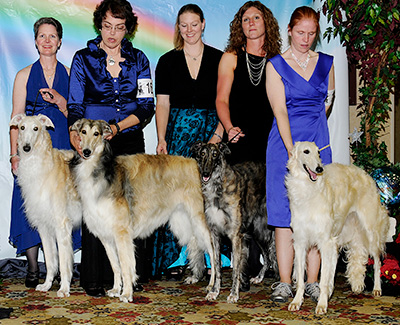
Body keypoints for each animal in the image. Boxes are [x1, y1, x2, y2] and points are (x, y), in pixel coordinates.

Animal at [9, 114, 81, 296]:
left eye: (36, 128)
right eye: (21, 127)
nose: (26, 148)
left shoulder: (61, 225)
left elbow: (63, 263)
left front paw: (64, 289)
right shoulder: (44, 226)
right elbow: (50, 261)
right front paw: (47, 285)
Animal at [286, 140, 390, 312]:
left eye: (319, 153)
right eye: (306, 151)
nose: (319, 169)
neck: (309, 190)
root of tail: (366, 175)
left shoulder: (324, 241)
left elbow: (322, 278)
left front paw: (321, 305)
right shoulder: (300, 241)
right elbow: (301, 279)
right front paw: (296, 302)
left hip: (370, 232)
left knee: (377, 261)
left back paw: (376, 288)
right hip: (338, 236)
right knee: (334, 266)